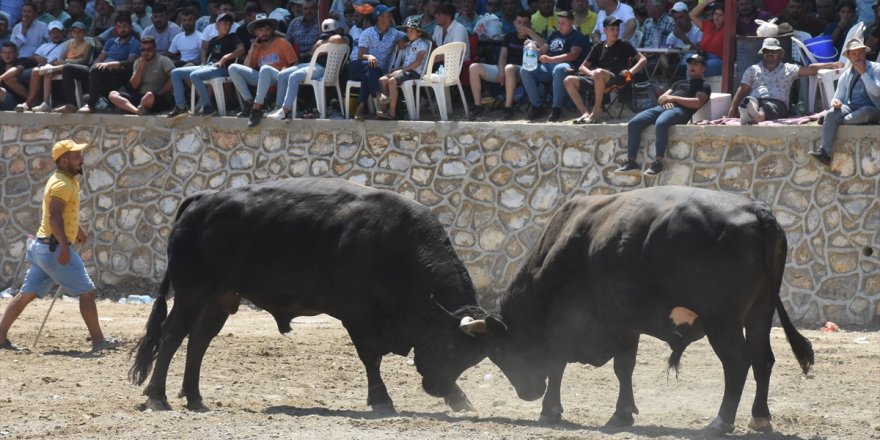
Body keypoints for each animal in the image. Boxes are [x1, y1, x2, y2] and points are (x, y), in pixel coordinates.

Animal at [129, 178, 488, 412]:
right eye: (451, 347)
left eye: (470, 359)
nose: (438, 389)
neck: (396, 246)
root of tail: (202, 200)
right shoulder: (358, 317)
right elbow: (371, 357)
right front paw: (382, 401)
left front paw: (460, 398)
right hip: (191, 293)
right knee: (172, 335)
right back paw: (158, 396)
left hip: (218, 298)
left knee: (199, 340)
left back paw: (195, 397)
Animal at [464, 185, 816, 434]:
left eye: (498, 352)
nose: (527, 393)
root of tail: (756, 210)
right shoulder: (625, 324)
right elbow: (624, 368)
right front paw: (622, 414)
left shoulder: (569, 323)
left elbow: (557, 365)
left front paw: (550, 410)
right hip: (760, 313)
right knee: (762, 359)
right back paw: (760, 418)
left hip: (723, 322)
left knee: (738, 362)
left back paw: (720, 422)